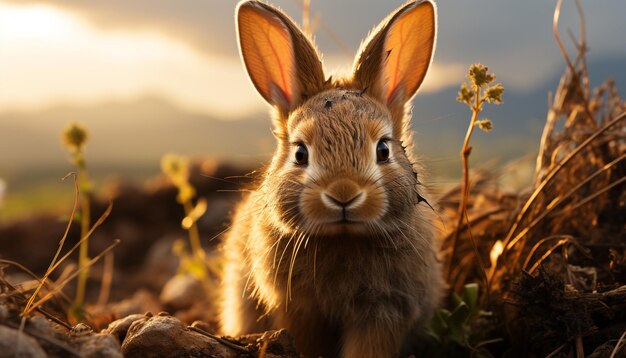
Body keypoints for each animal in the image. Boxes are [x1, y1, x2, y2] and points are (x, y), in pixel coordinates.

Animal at [219, 1, 444, 356]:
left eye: (383, 149)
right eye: (300, 153)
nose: (343, 193)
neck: (343, 237)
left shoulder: (386, 310)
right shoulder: (297, 308)